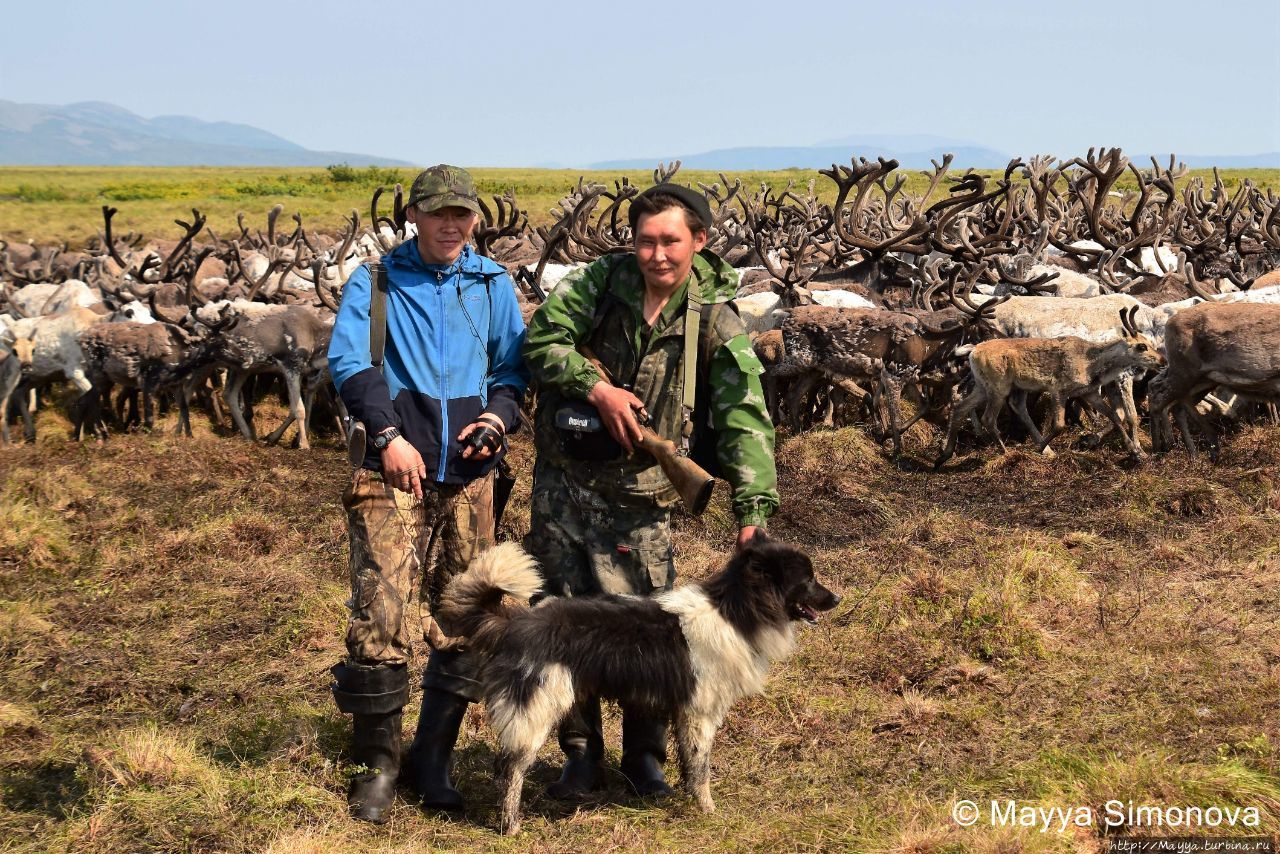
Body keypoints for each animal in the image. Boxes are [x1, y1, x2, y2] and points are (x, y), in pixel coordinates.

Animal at [440, 535, 839, 834]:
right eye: (807, 580)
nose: (837, 598)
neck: (735, 610)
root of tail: (515, 623)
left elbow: (689, 764)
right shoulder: (700, 714)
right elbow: (701, 768)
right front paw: (707, 811)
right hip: (537, 709)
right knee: (510, 770)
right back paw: (510, 826)